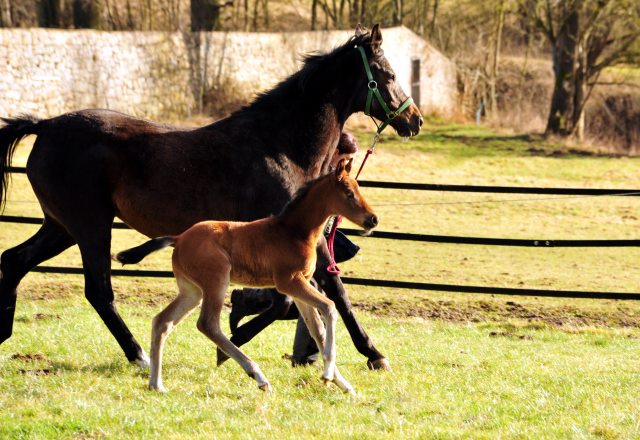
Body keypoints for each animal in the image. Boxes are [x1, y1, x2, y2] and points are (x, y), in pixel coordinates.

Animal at [0, 23, 422, 368]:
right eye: (388, 74)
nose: (414, 119)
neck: (281, 145)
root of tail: (45, 125)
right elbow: (296, 298)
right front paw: (233, 340)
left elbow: (329, 292)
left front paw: (373, 354)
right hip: (90, 226)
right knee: (98, 290)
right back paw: (138, 355)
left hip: (60, 226)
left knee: (15, 260)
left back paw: (5, 334)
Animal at [115, 160, 378, 394]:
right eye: (349, 193)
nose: (373, 219)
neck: (294, 231)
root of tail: (178, 238)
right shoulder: (289, 282)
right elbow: (330, 307)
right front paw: (328, 374)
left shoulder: (300, 285)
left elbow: (318, 329)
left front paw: (341, 383)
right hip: (217, 279)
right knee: (207, 324)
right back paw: (257, 375)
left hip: (192, 291)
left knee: (162, 322)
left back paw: (156, 384)